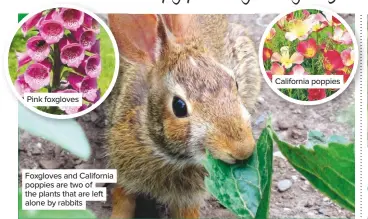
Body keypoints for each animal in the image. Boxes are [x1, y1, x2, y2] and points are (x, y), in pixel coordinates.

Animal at [104, 14, 262, 218]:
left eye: (235, 84)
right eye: (179, 106)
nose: (243, 149)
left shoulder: (189, 198)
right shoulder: (123, 173)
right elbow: (122, 202)